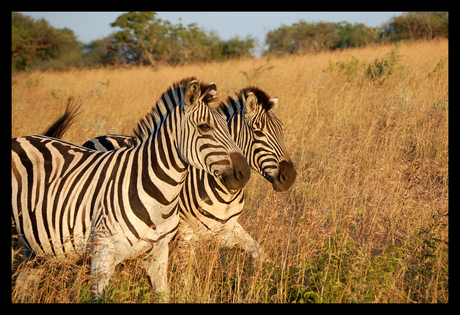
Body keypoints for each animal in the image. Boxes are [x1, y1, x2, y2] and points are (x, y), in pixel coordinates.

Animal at [9, 78, 252, 302]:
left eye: (227, 127)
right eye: (204, 127)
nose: (245, 173)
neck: (158, 197)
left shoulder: (158, 254)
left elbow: (163, 295)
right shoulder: (102, 255)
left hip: (36, 249)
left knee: (22, 286)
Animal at [80, 86, 296, 282]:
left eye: (282, 130)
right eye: (258, 132)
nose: (290, 176)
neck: (225, 194)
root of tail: (99, 136)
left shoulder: (228, 230)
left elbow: (260, 254)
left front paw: (276, 279)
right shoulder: (185, 236)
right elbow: (186, 279)